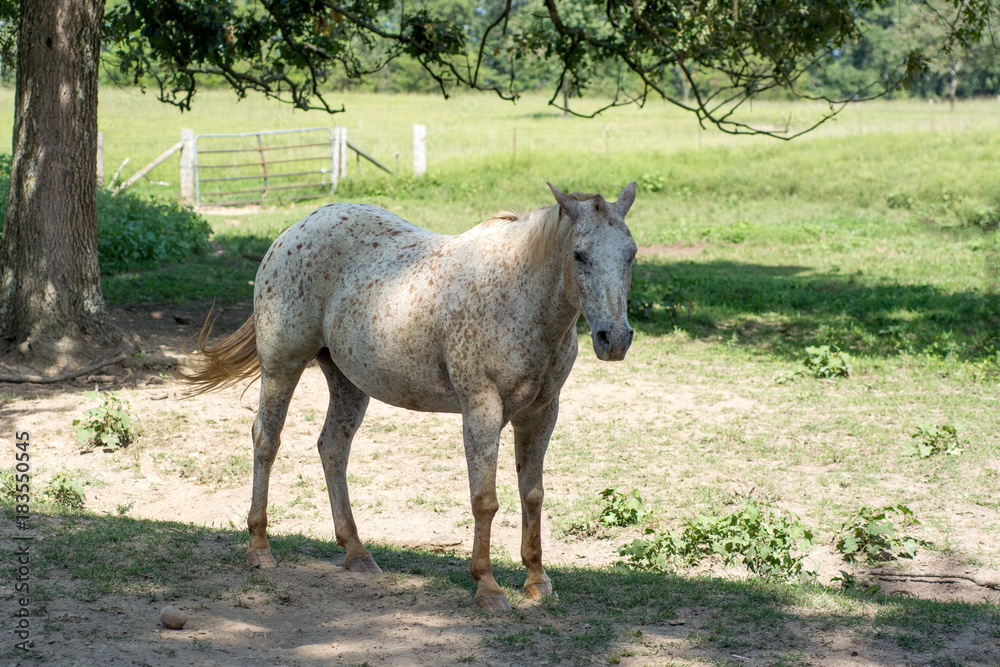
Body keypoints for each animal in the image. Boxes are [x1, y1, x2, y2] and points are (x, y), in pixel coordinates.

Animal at [182, 182, 638, 610]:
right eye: (579, 255)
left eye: (631, 254)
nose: (614, 339)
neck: (519, 297)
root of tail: (294, 229)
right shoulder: (482, 409)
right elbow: (484, 500)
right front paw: (487, 587)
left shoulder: (542, 412)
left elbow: (532, 495)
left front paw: (538, 581)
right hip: (283, 366)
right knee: (266, 440)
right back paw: (260, 548)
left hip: (348, 383)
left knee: (332, 448)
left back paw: (356, 552)